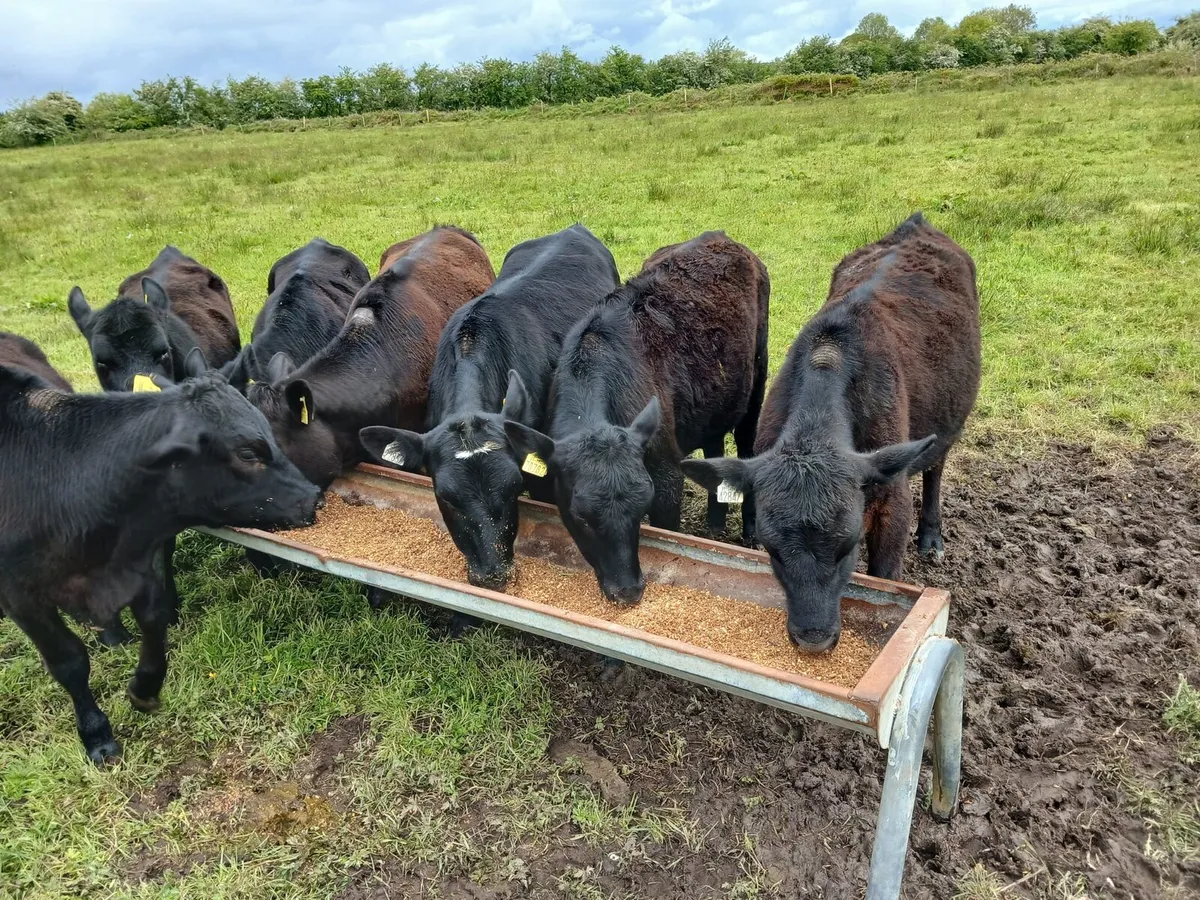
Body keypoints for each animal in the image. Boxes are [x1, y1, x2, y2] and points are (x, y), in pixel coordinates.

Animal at [0, 349, 320, 764]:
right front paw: (97, 735)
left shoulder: (138, 564)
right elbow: (69, 662)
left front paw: (145, 687)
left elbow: (155, 621)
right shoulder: (21, 599)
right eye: (248, 452)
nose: (313, 496)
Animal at [504, 231, 770, 605]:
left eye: (642, 502)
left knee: (746, 444)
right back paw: (715, 524)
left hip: (756, 381)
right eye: (581, 517)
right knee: (715, 443)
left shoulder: (667, 477)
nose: (628, 590)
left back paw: (749, 532)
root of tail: (720, 237)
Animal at [682, 213, 981, 652]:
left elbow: (883, 575)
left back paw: (931, 538)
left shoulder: (892, 503)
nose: (814, 639)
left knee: (935, 468)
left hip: (947, 425)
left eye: (847, 546)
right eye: (773, 550)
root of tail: (916, 225)